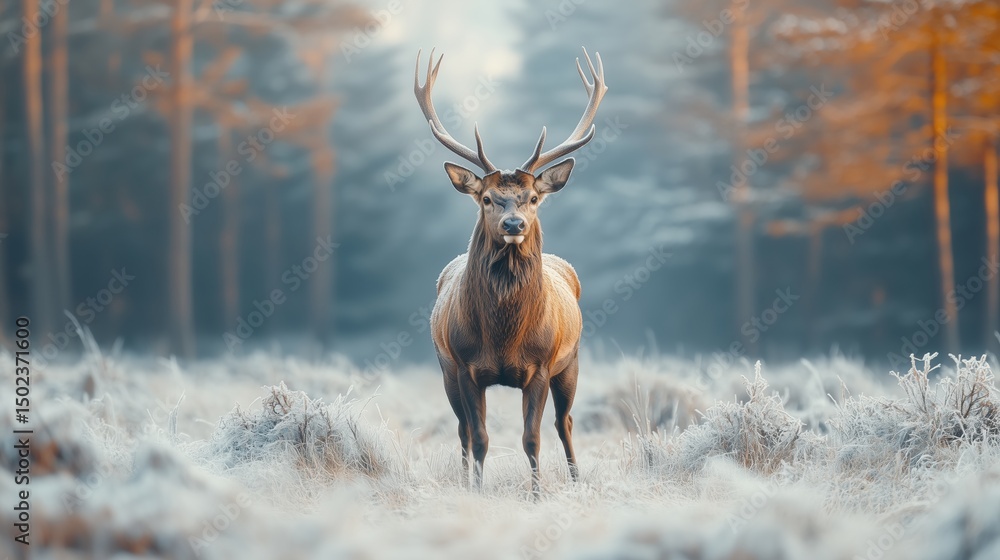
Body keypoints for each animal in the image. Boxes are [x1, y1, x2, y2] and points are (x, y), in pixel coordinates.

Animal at [415, 47, 607, 496]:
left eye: (533, 197)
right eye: (487, 198)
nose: (514, 224)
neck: (504, 335)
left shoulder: (540, 366)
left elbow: (532, 437)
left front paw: (537, 495)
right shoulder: (465, 366)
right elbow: (480, 436)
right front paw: (476, 490)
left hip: (571, 362)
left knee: (565, 422)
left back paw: (576, 478)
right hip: (445, 367)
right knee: (462, 429)